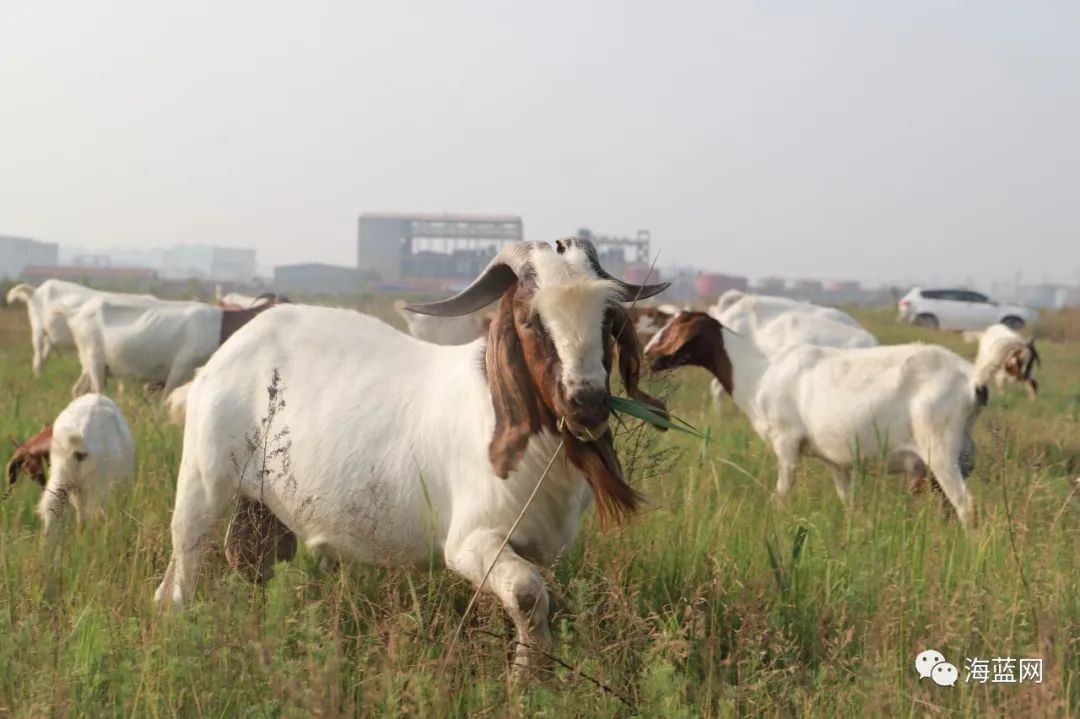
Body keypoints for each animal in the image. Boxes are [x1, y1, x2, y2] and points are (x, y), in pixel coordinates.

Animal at [154, 239, 665, 673]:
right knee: (183, 564)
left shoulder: (546, 546)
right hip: (203, 482)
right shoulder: (470, 541)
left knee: (251, 560)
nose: (587, 402)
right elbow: (527, 595)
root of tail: (221, 359)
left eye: (608, 319)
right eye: (530, 319)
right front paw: (526, 682)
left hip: (261, 503)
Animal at [639, 310, 993, 524]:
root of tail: (972, 380)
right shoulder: (835, 459)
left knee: (966, 505)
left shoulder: (786, 441)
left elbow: (783, 491)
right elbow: (849, 502)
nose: (647, 356)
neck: (759, 372)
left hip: (941, 448)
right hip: (961, 455)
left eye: (673, 328)